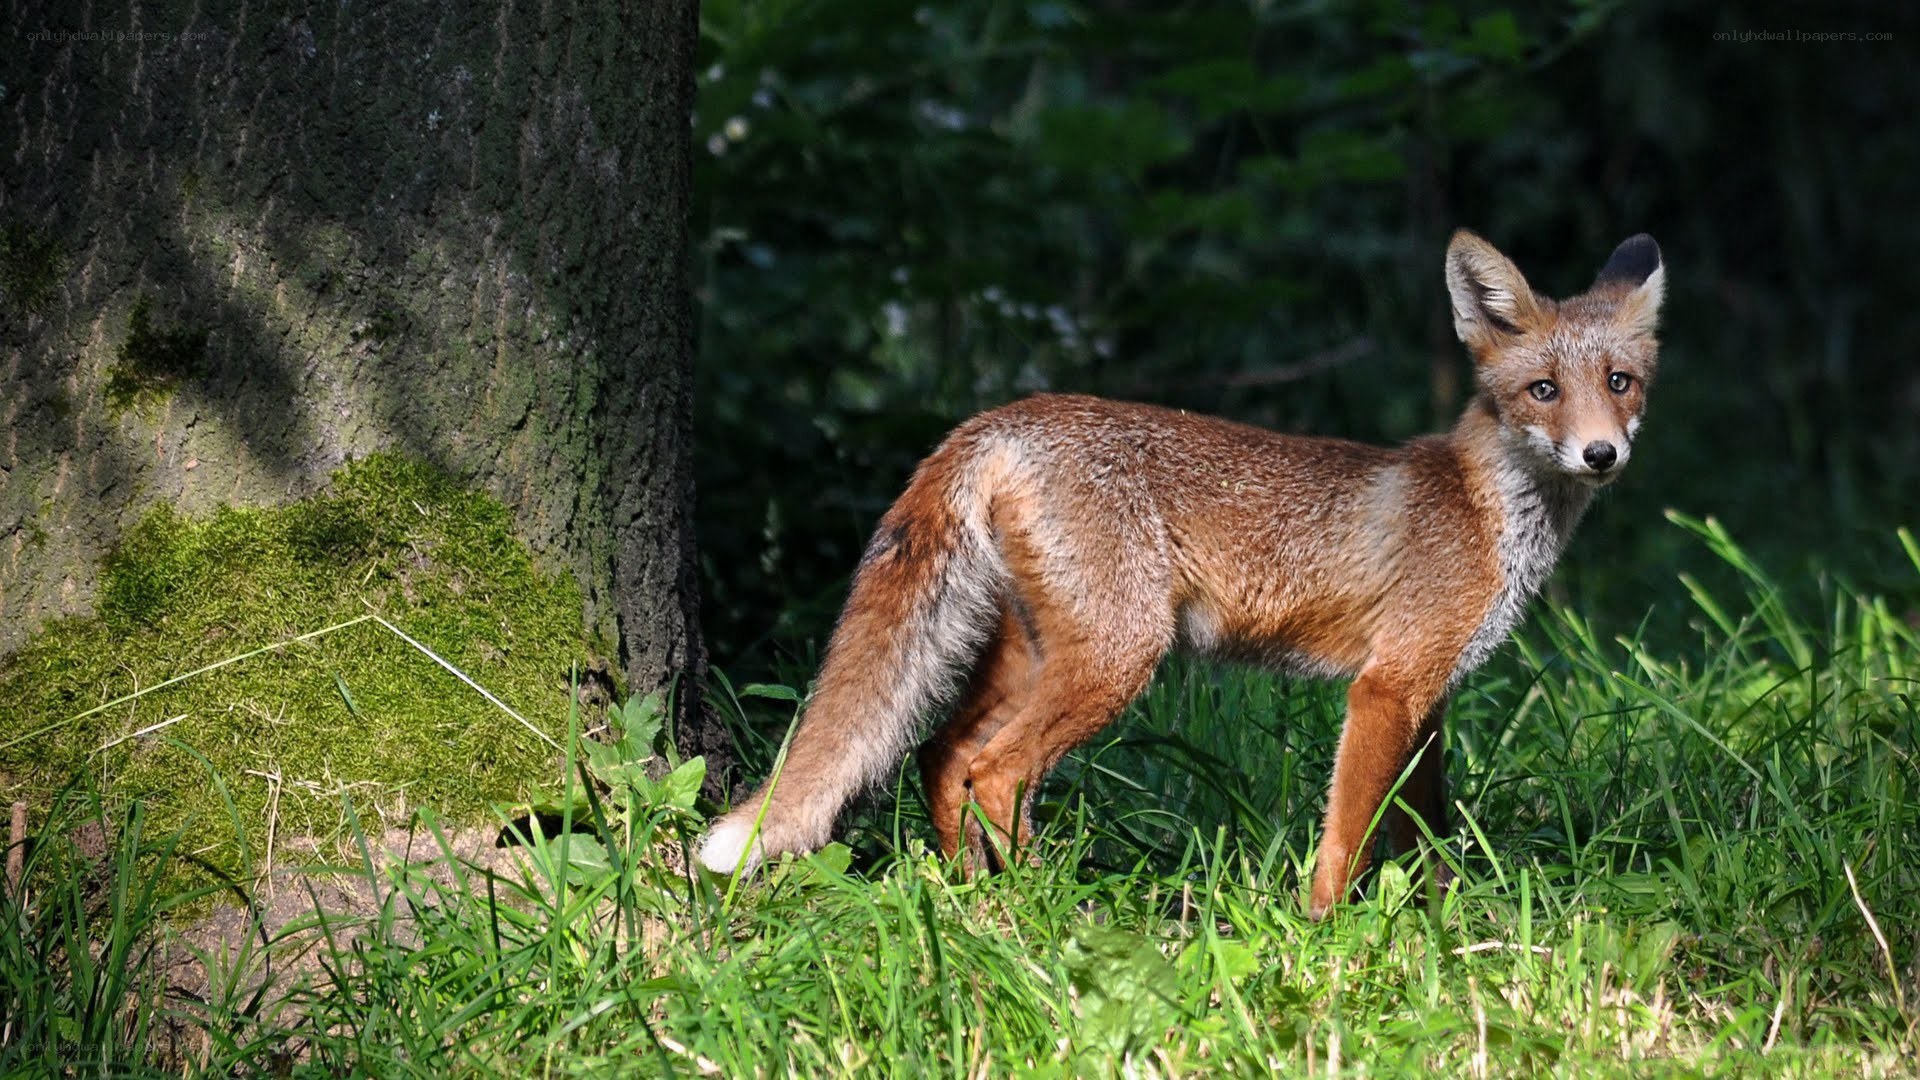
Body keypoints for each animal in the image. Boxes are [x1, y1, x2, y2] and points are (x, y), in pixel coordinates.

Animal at [698, 229, 1665, 917]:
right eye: (1544, 391)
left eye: (1620, 382)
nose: (1603, 455)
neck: (1482, 508)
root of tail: (999, 418)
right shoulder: (1387, 688)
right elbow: (1348, 837)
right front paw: (1326, 934)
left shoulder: (1429, 698)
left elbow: (1424, 836)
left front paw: (1438, 928)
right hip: (1121, 654)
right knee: (995, 770)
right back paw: (1047, 905)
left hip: (1033, 652)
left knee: (943, 754)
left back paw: (973, 897)